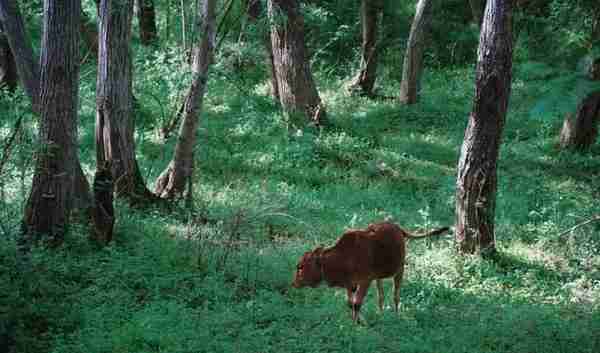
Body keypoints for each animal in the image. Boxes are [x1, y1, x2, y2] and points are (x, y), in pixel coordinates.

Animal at [290, 223, 450, 322]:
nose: (294, 283)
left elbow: (357, 304)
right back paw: (380, 313)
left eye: (300, 267)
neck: (342, 258)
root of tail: (397, 228)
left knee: (395, 295)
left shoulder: (365, 281)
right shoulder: (350, 284)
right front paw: (354, 321)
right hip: (378, 277)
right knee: (381, 296)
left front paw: (357, 324)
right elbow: (350, 303)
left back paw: (396, 315)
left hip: (399, 270)